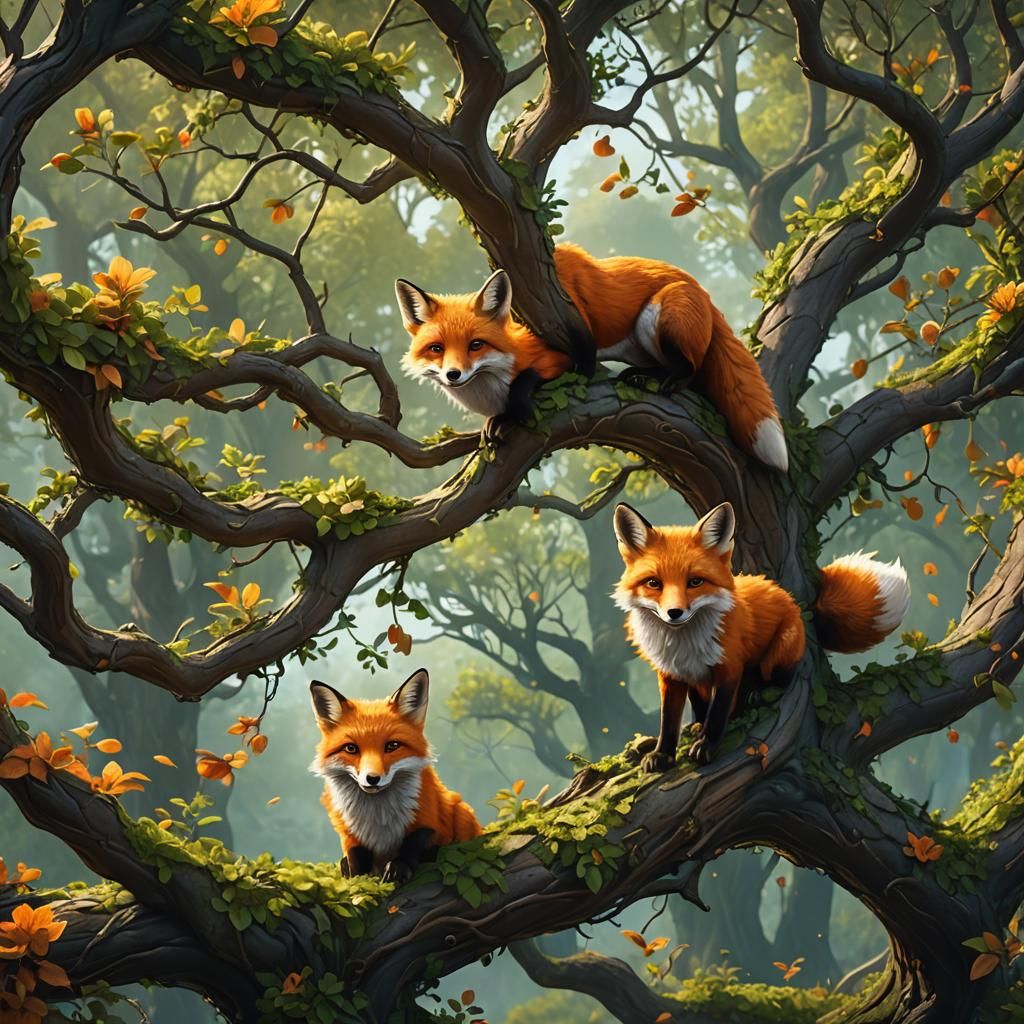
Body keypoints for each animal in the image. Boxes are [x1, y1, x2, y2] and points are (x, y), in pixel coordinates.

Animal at [309, 668, 481, 883]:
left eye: (392, 746)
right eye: (351, 748)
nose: (372, 778)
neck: (378, 818)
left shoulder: (427, 819)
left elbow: (413, 845)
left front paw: (399, 868)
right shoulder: (348, 831)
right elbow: (356, 857)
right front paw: (357, 879)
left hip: (461, 811)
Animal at [396, 242, 788, 471]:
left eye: (476, 345)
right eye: (436, 349)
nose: (453, 375)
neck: (487, 388)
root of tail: (697, 286)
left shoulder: (557, 359)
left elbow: (532, 380)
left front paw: (513, 411)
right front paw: (494, 422)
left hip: (658, 316)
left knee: (689, 369)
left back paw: (662, 380)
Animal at [613, 502, 911, 771]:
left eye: (695, 582)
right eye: (654, 583)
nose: (674, 613)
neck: (684, 643)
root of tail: (795, 603)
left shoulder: (730, 667)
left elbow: (718, 713)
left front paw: (707, 745)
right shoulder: (671, 675)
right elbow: (669, 721)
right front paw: (662, 754)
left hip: (778, 653)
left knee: (777, 679)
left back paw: (755, 696)